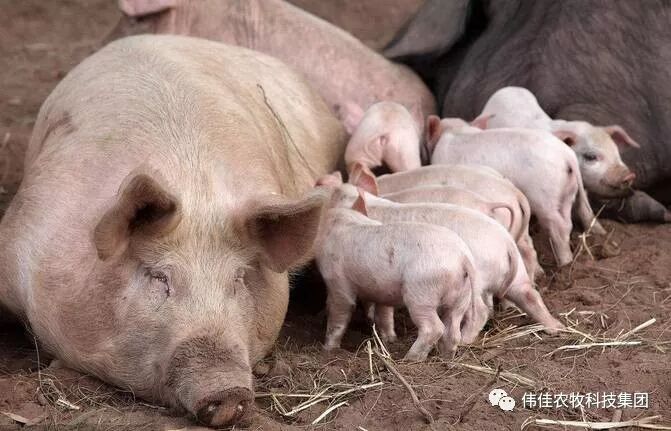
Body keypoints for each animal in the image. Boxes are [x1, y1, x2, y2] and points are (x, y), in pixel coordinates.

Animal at [315, 205, 477, 360]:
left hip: (422, 292)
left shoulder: (336, 279)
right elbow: (384, 313)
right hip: (463, 296)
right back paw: (446, 357)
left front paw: (328, 349)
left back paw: (409, 358)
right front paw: (390, 339)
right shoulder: (382, 291)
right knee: (453, 328)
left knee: (434, 327)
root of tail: (463, 256)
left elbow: (340, 310)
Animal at [329, 184, 563, 343]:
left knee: (480, 310)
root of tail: (505, 243)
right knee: (529, 294)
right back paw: (556, 328)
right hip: (516, 274)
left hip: (477, 279)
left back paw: (466, 341)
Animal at [428, 117, 606, 267]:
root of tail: (568, 156)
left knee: (558, 225)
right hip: (567, 192)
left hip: (545, 195)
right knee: (569, 222)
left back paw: (564, 264)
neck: (454, 130)